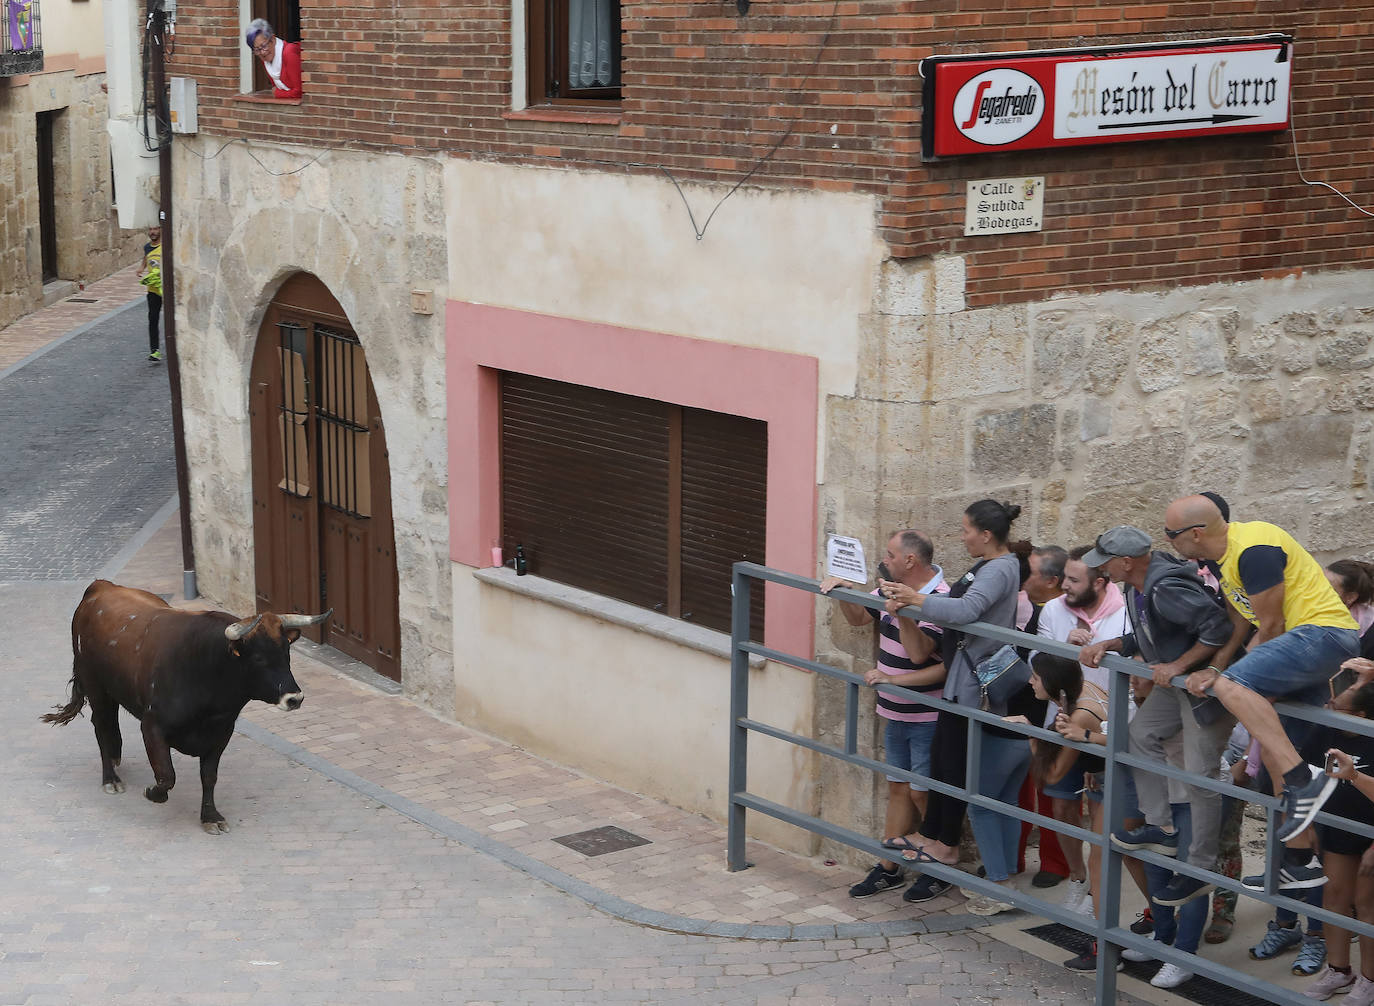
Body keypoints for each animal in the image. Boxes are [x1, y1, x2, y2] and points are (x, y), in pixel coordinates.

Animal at [44, 582, 328, 835]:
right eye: (259, 658)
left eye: (287, 653)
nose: (294, 698)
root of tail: (100, 586)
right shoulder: (152, 726)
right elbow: (166, 775)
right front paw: (152, 792)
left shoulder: (221, 732)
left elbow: (209, 777)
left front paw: (211, 817)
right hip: (95, 687)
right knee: (102, 724)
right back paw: (110, 778)